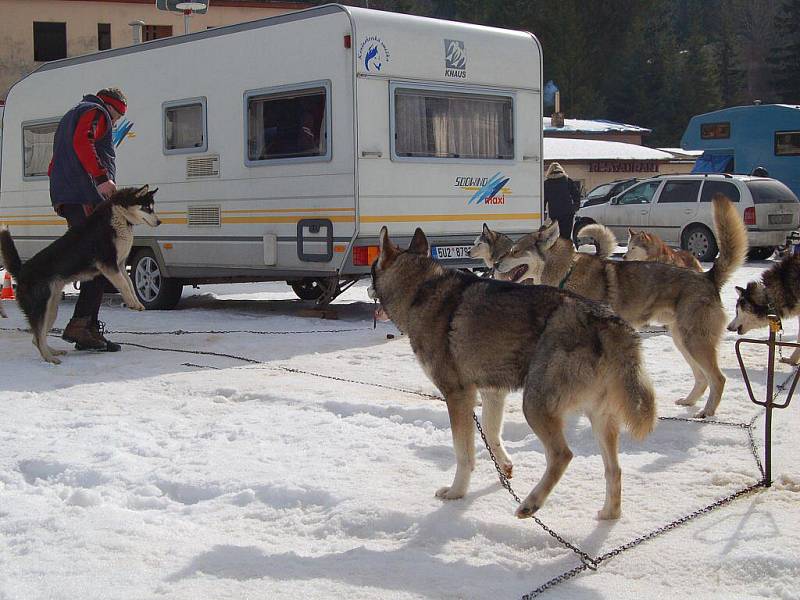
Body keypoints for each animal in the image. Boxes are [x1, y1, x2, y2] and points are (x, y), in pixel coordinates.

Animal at [0, 185, 161, 364]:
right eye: (146, 207)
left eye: (152, 207)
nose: (159, 222)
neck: (118, 217)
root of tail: (22, 271)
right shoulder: (108, 265)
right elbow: (124, 285)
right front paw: (132, 303)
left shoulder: (119, 265)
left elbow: (130, 285)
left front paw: (136, 303)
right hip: (41, 307)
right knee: (38, 336)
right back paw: (49, 358)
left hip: (51, 309)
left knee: (37, 337)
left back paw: (53, 352)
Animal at [368, 226, 656, 520]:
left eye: (371, 269)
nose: (367, 288)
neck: (420, 291)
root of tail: (609, 320)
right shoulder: (492, 393)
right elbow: (492, 434)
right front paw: (504, 466)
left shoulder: (457, 396)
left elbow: (464, 453)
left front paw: (456, 492)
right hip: (598, 417)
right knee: (614, 469)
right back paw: (608, 514)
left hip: (535, 406)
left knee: (562, 455)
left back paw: (531, 503)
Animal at [490, 195, 748, 420]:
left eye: (515, 251)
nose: (494, 264)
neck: (566, 274)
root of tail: (708, 277)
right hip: (683, 341)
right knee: (702, 378)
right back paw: (689, 402)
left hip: (694, 342)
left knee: (718, 379)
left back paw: (707, 412)